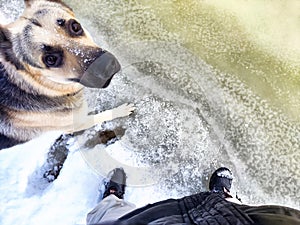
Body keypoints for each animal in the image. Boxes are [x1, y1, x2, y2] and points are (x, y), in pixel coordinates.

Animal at [0, 0, 134, 150]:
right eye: (51, 59)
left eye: (75, 26)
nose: (107, 66)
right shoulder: (78, 124)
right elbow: (101, 116)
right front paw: (119, 111)